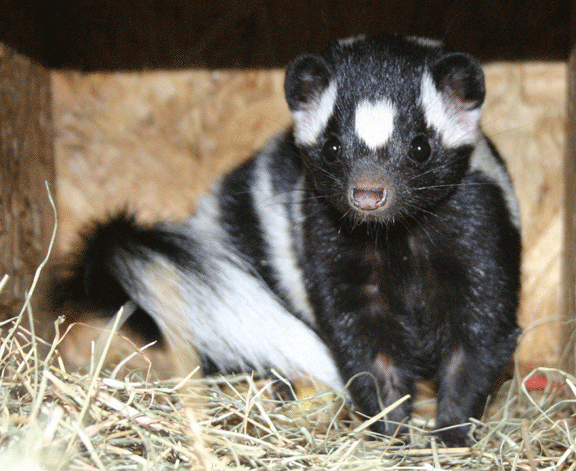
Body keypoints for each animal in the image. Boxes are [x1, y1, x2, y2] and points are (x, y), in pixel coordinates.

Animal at [49, 34, 520, 446]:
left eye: (421, 147)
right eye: (332, 148)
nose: (368, 194)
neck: (394, 236)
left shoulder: (475, 224)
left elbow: (477, 333)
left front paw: (451, 431)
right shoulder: (329, 241)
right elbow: (366, 341)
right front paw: (391, 429)